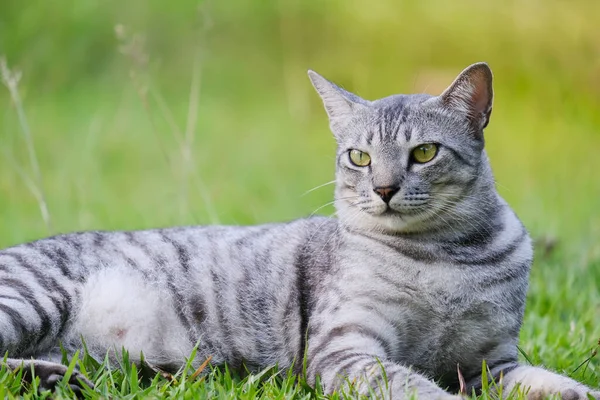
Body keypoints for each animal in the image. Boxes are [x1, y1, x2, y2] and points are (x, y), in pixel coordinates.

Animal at [0, 64, 596, 398]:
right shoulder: (346, 351)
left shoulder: (489, 364)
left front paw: (575, 391)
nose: (383, 188)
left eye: (424, 153)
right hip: (32, 298)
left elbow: (548, 381)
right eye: (359, 157)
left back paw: (55, 378)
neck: (448, 255)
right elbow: (416, 388)